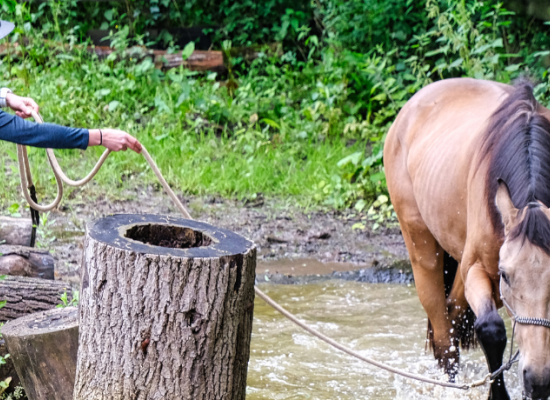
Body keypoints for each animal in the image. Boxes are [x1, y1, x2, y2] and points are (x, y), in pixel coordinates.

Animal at [386, 78, 550, 400]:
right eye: (506, 274)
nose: (537, 381)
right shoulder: (477, 270)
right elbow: (491, 329)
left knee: (454, 312)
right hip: (423, 249)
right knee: (443, 333)